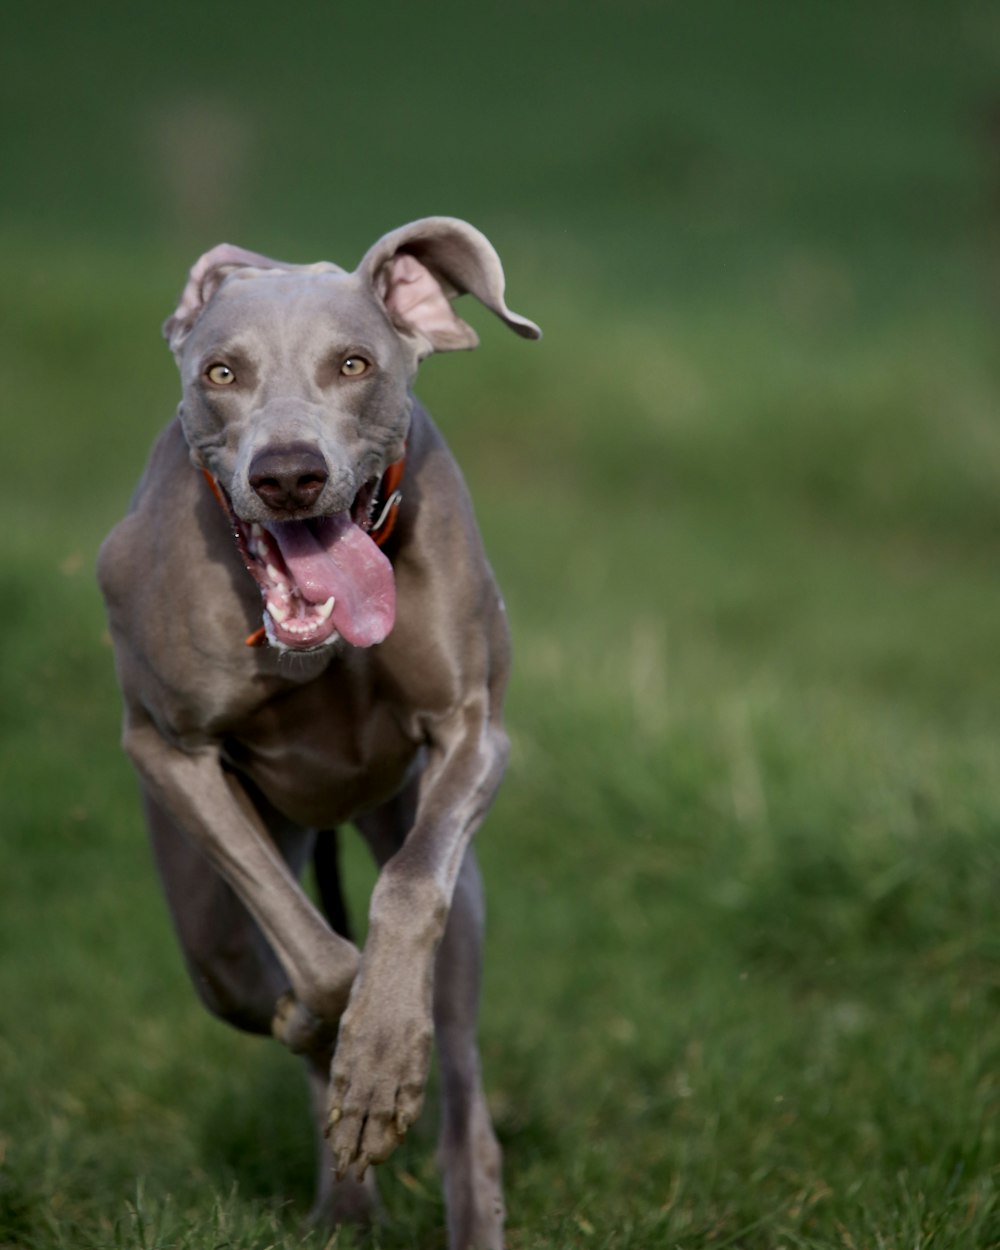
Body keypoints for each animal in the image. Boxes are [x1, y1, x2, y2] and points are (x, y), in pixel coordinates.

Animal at [95, 220, 540, 1245]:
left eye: (354, 364)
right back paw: (343, 1200)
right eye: (220, 372)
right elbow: (321, 959)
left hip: (437, 870)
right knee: (246, 970)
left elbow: (408, 893)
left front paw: (379, 1066)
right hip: (210, 925)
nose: (288, 474)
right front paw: (328, 1031)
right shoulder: (169, 750)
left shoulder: (472, 730)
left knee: (460, 1064)